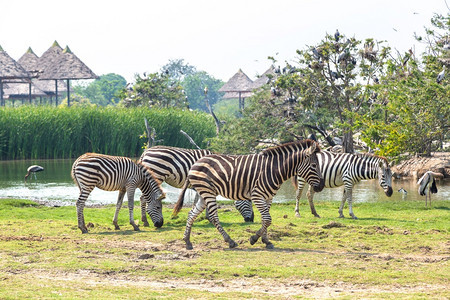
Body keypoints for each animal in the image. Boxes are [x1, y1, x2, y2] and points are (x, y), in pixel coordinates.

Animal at [172, 139, 324, 250]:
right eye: (314, 166)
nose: (322, 186)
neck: (274, 169)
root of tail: (195, 163)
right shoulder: (257, 195)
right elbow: (267, 219)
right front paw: (254, 239)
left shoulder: (268, 197)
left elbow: (265, 219)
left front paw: (266, 241)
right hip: (208, 192)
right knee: (214, 217)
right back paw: (230, 241)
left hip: (203, 193)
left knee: (192, 214)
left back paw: (187, 241)